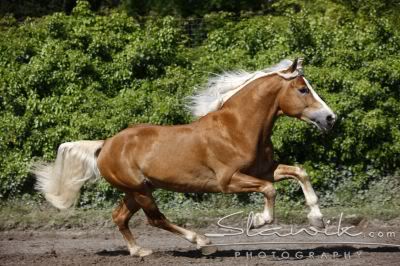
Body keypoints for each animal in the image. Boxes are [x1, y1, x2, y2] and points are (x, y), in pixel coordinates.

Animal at [32, 57, 336, 256]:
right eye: (303, 89)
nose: (331, 118)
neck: (237, 128)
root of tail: (105, 145)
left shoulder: (264, 169)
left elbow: (299, 172)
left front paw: (317, 219)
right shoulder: (228, 181)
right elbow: (269, 190)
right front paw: (258, 221)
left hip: (135, 190)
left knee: (119, 217)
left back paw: (140, 251)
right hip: (139, 190)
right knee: (155, 219)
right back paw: (202, 243)